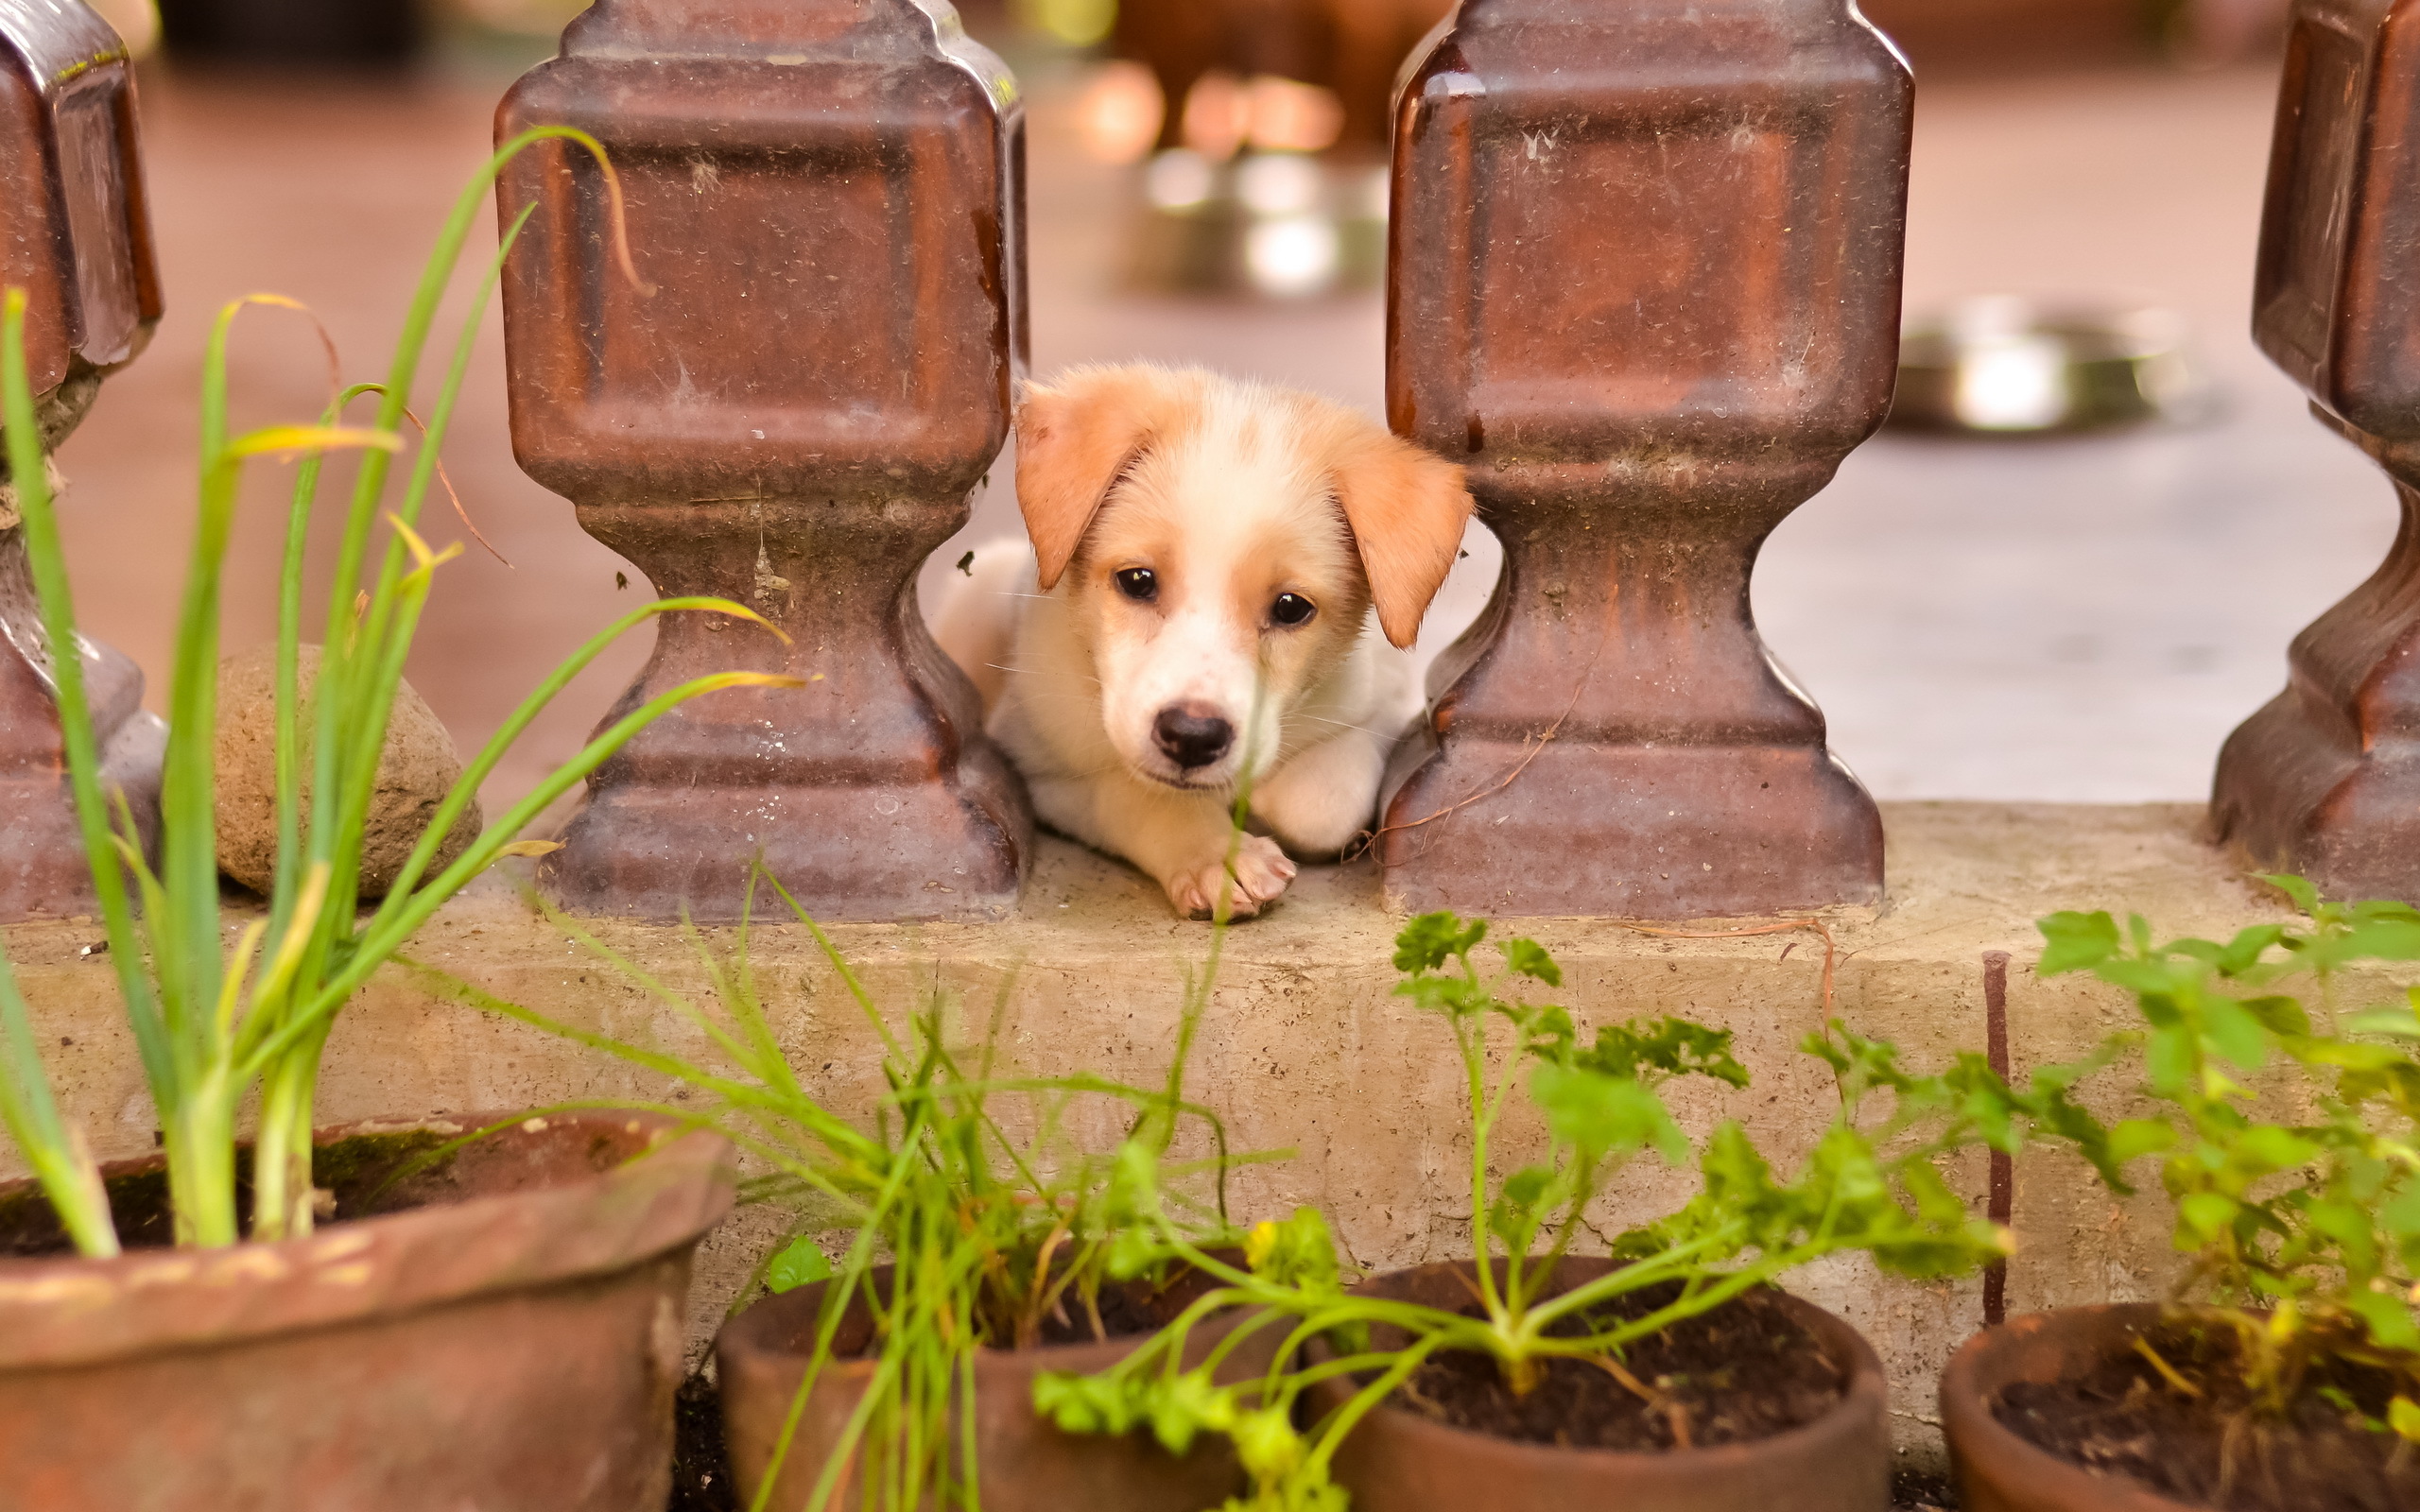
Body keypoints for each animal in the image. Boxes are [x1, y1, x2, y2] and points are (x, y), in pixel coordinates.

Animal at [929, 365, 1461, 919]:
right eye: (1137, 580)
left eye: (1291, 608)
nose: (1192, 737)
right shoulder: (1039, 764)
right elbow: (1136, 793)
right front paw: (1214, 855)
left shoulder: (1386, 702)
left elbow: (1323, 804)